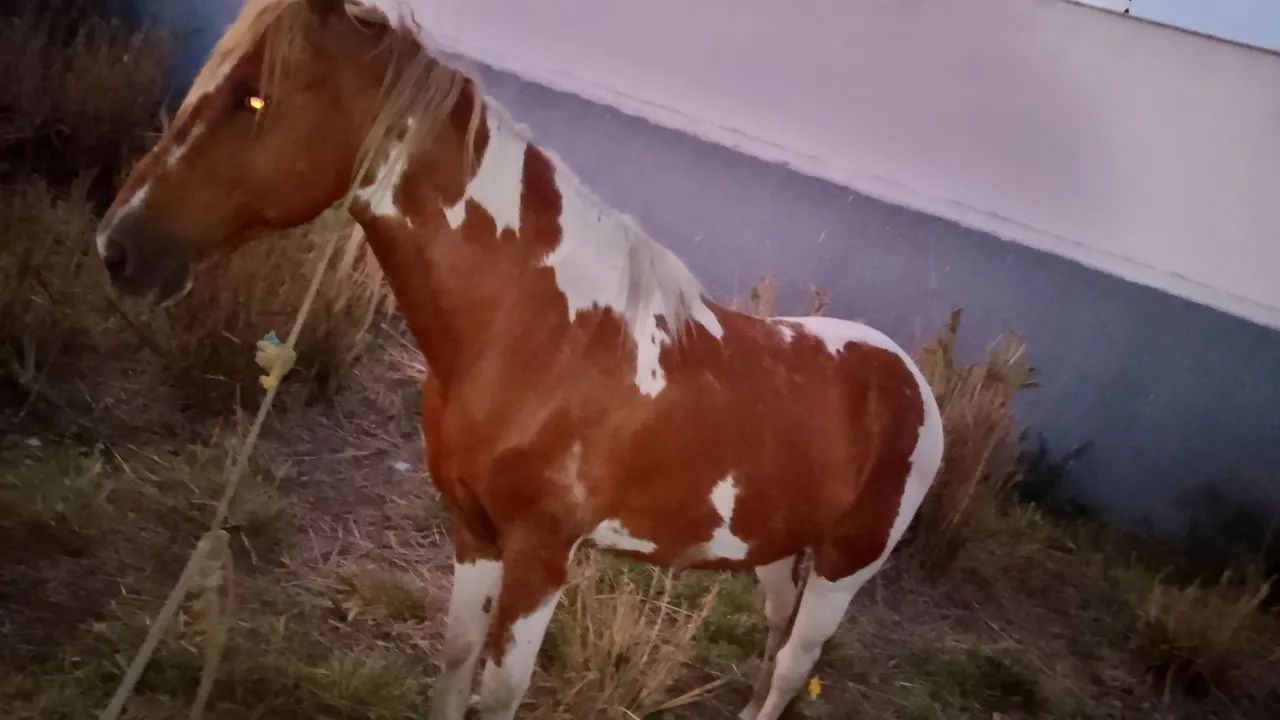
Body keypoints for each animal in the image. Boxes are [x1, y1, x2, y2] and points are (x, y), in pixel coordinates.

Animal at [95, 1, 945, 718]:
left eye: (252, 98)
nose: (119, 249)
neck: (538, 333)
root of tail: (915, 387)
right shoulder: (473, 530)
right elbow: (454, 665)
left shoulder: (542, 556)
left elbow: (499, 693)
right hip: (775, 549)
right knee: (774, 643)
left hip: (844, 568)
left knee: (796, 661)